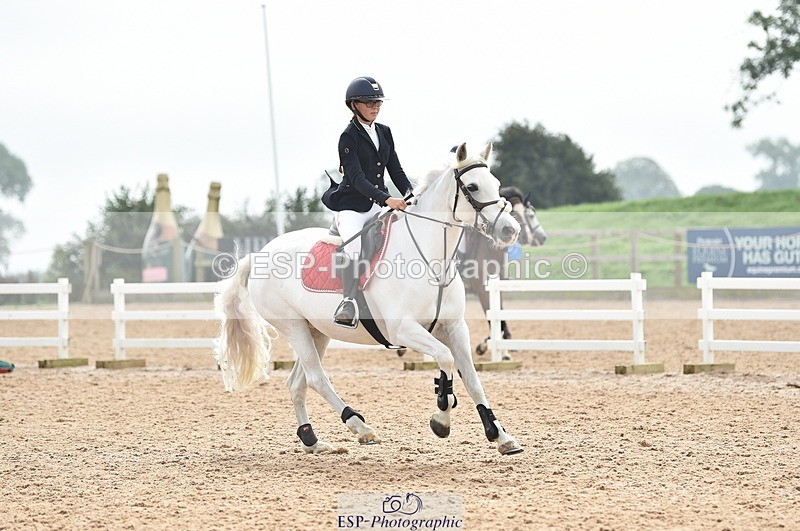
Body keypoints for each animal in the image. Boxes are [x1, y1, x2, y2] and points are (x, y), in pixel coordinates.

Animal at [213, 142, 525, 455]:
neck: (430, 258)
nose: (510, 230)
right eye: (472, 187)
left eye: (496, 184)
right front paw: (441, 419)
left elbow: (472, 379)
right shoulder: (403, 330)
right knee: (316, 378)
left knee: (297, 382)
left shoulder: (455, 328)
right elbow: (445, 359)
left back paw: (312, 440)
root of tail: (259, 254)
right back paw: (360, 427)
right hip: (293, 327)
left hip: (316, 331)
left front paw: (500, 435)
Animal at [458, 187, 547, 357]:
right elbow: (491, 314)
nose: (526, 236)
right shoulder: (482, 289)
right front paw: (494, 347)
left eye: (526, 213)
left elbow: (498, 313)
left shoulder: (497, 287)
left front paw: (497, 344)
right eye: (530, 215)